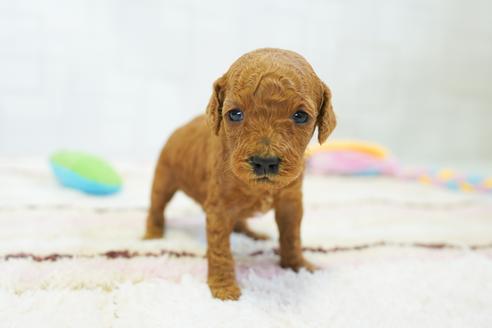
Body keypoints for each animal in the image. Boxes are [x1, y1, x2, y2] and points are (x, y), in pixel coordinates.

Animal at [142, 47, 334, 302]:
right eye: (235, 114)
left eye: (300, 116)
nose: (265, 162)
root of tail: (181, 128)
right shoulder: (218, 209)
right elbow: (220, 250)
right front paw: (223, 287)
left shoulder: (291, 203)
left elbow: (292, 237)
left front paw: (298, 265)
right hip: (163, 178)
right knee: (157, 207)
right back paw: (152, 235)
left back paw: (252, 233)